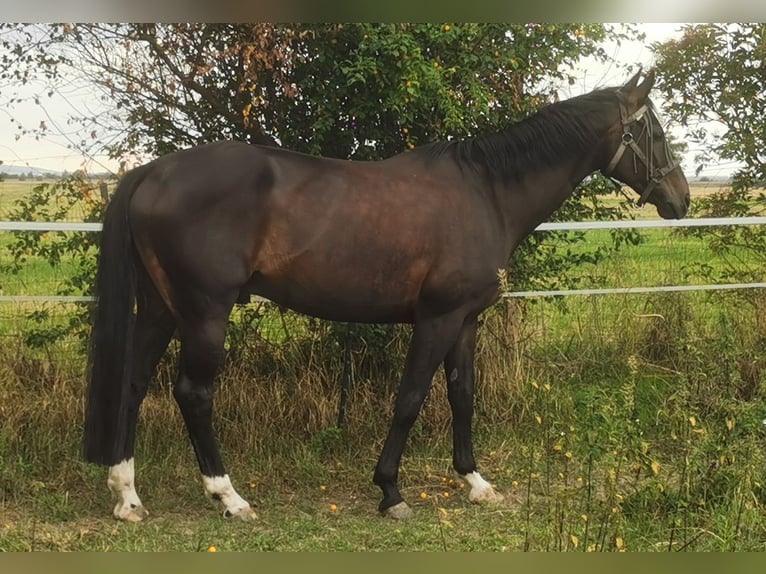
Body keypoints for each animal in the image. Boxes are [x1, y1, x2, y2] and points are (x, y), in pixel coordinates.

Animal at [84, 69, 689, 522]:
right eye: (656, 135)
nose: (680, 199)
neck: (487, 193)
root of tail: (150, 173)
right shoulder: (437, 318)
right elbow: (411, 399)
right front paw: (390, 491)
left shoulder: (466, 321)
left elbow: (462, 395)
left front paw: (475, 481)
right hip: (205, 311)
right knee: (193, 394)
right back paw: (229, 497)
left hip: (161, 308)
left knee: (133, 385)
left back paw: (128, 496)